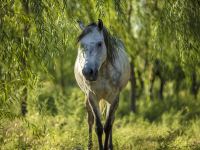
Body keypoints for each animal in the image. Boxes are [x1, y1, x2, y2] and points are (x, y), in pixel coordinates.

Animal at [74, 19, 130, 150]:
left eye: (99, 44)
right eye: (81, 45)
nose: (87, 72)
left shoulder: (114, 98)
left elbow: (108, 126)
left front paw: (107, 146)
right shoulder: (92, 97)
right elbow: (98, 127)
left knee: (112, 120)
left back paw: (110, 145)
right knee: (90, 119)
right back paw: (89, 145)